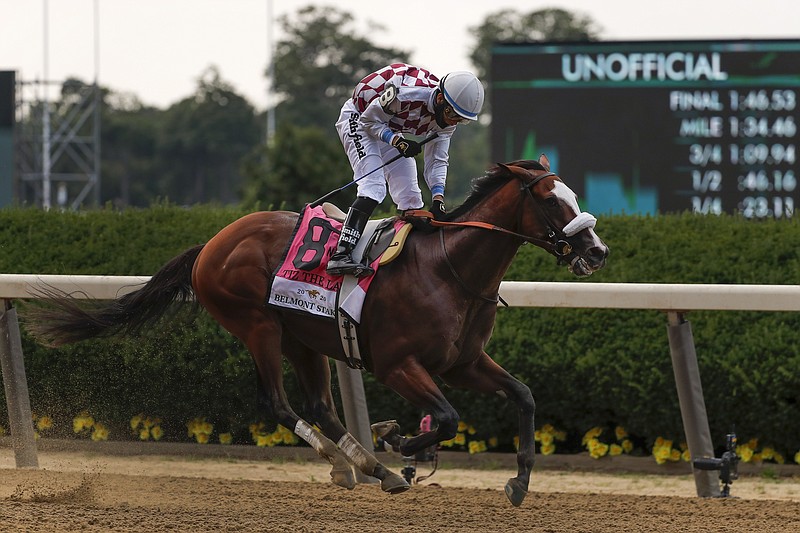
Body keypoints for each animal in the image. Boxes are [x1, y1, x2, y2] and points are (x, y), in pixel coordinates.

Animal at [28, 155, 608, 508]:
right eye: (551, 199)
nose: (597, 250)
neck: (448, 269)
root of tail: (212, 243)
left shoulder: (462, 363)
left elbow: (524, 396)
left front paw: (519, 481)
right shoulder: (398, 365)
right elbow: (446, 417)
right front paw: (398, 439)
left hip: (305, 339)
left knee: (318, 405)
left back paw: (364, 466)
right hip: (257, 326)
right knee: (279, 404)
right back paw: (362, 463)